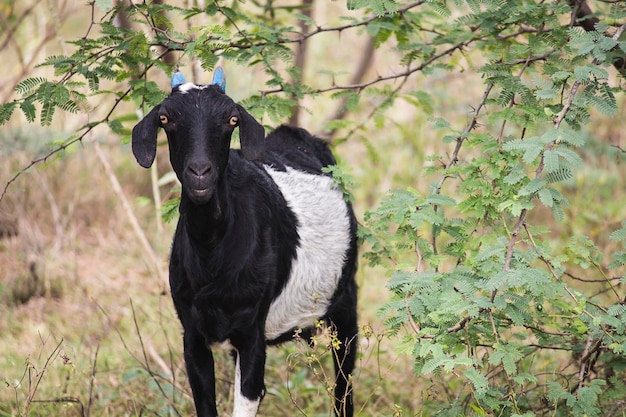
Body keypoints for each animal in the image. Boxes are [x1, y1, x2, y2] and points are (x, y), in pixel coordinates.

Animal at [131, 75, 356, 416]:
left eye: (231, 120)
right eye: (166, 119)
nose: (200, 173)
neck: (212, 251)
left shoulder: (252, 333)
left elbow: (248, 396)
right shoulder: (192, 335)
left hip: (344, 300)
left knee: (345, 385)